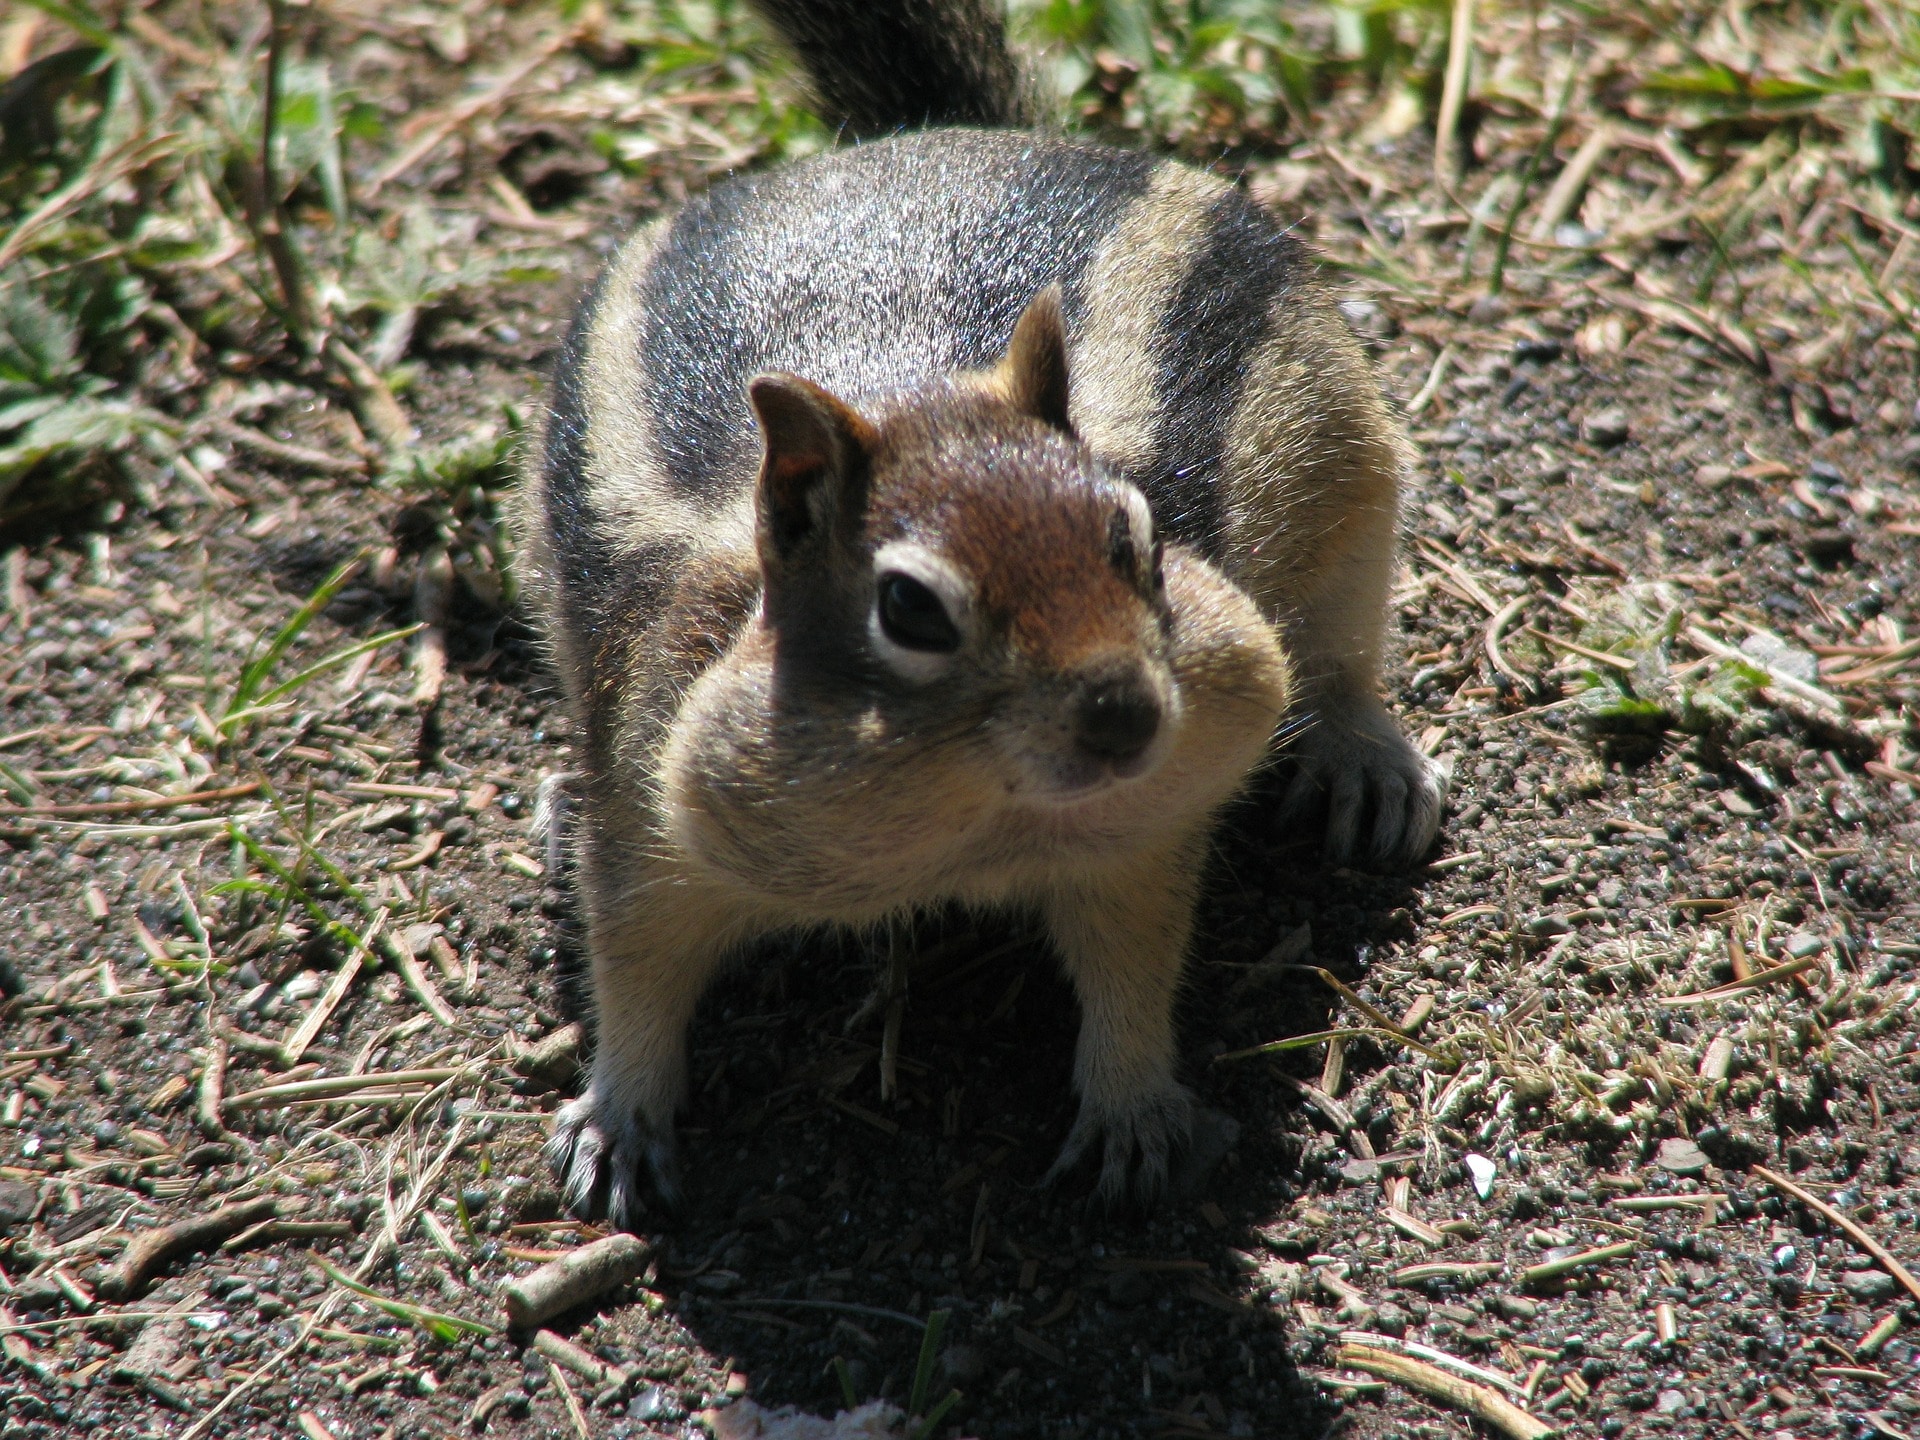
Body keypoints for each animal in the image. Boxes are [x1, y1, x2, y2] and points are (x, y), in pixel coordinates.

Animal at [510, 0, 1443, 1228]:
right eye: (909, 608)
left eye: (1139, 537)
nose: (1128, 717)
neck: (971, 822)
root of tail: (919, 135)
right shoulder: (652, 814)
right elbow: (634, 964)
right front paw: (617, 1118)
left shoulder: (1139, 836)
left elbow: (1136, 962)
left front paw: (1134, 1112)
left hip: (1357, 489)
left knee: (1341, 657)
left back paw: (1366, 761)